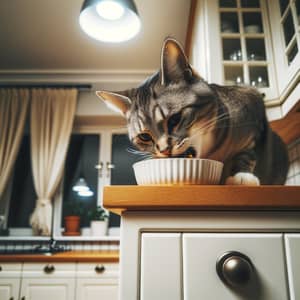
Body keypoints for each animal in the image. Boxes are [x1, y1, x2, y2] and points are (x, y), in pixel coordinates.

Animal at [96, 38, 288, 185]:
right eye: (144, 136)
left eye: (174, 119)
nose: (164, 151)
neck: (215, 152)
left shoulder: (254, 106)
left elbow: (248, 152)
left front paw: (241, 176)